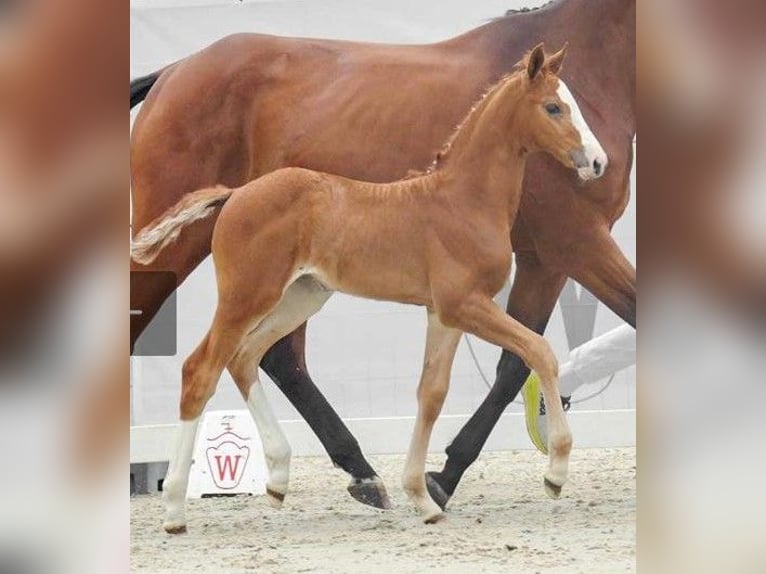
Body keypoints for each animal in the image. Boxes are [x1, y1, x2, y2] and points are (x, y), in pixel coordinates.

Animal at [132, 0, 636, 512]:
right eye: (553, 107)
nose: (596, 162)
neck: (459, 193)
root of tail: (172, 72)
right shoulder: (570, 246)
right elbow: (544, 348)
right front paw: (511, 473)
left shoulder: (531, 266)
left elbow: (478, 376)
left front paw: (437, 480)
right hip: (203, 268)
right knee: (198, 357)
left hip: (300, 290)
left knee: (267, 356)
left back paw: (345, 474)